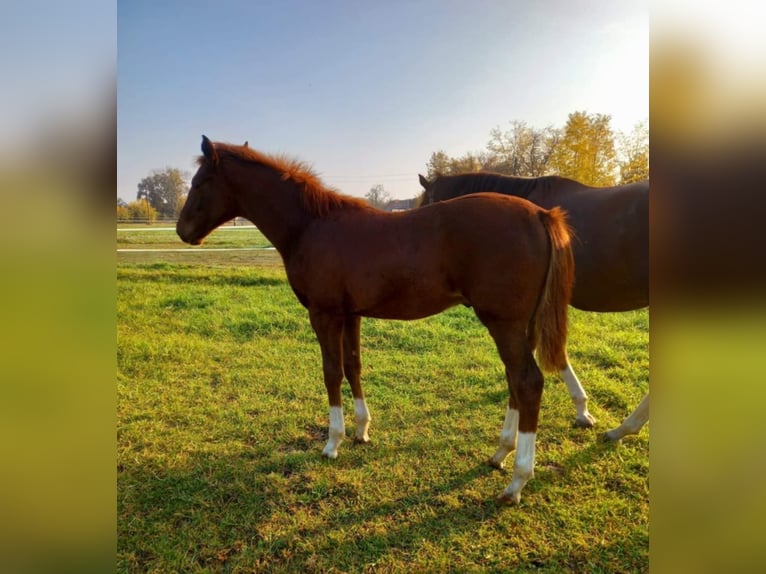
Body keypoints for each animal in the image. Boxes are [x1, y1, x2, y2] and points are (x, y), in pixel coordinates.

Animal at [177, 138, 572, 504]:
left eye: (199, 182)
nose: (182, 231)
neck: (311, 226)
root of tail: (540, 214)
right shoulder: (351, 315)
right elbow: (353, 366)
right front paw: (361, 430)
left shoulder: (324, 314)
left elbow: (331, 372)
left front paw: (332, 443)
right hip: (520, 326)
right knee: (515, 382)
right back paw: (500, 453)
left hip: (503, 323)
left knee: (527, 382)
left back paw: (517, 481)